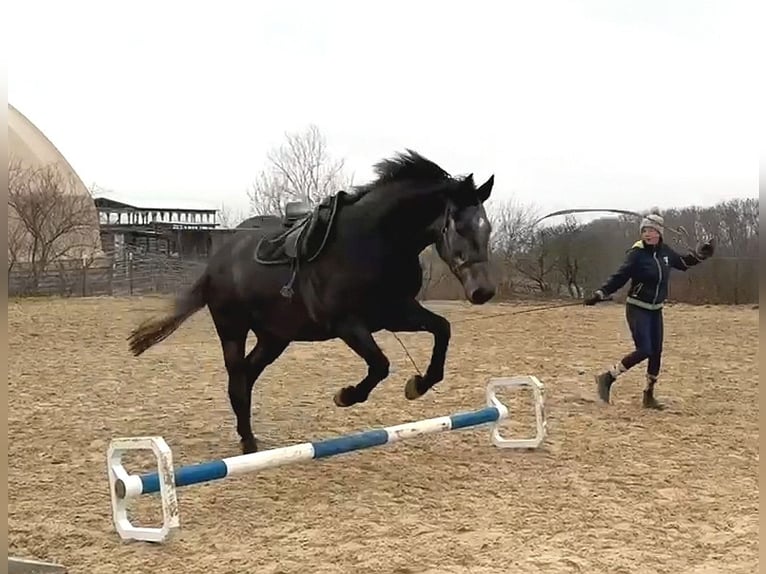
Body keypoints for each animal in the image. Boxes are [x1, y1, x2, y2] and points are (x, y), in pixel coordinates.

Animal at [127, 149, 496, 454]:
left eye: (487, 227)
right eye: (459, 227)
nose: (483, 291)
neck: (376, 241)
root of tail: (216, 262)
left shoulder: (395, 313)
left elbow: (442, 330)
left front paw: (418, 385)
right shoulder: (348, 324)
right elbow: (380, 364)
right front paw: (346, 396)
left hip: (275, 338)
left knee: (247, 375)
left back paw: (248, 437)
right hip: (233, 329)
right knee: (237, 381)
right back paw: (248, 443)